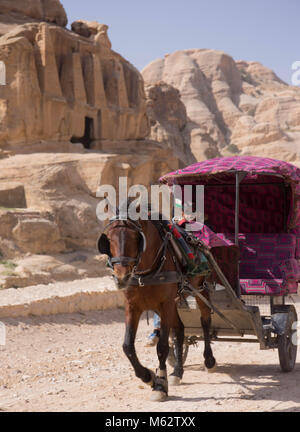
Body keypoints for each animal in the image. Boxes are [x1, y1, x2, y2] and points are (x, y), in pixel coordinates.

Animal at [98, 213, 216, 402]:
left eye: (135, 238)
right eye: (108, 239)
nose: (122, 277)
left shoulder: (165, 304)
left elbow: (162, 347)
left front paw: (160, 384)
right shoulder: (133, 307)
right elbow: (127, 346)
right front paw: (148, 377)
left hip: (201, 289)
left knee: (205, 320)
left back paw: (209, 360)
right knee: (180, 329)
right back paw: (177, 371)